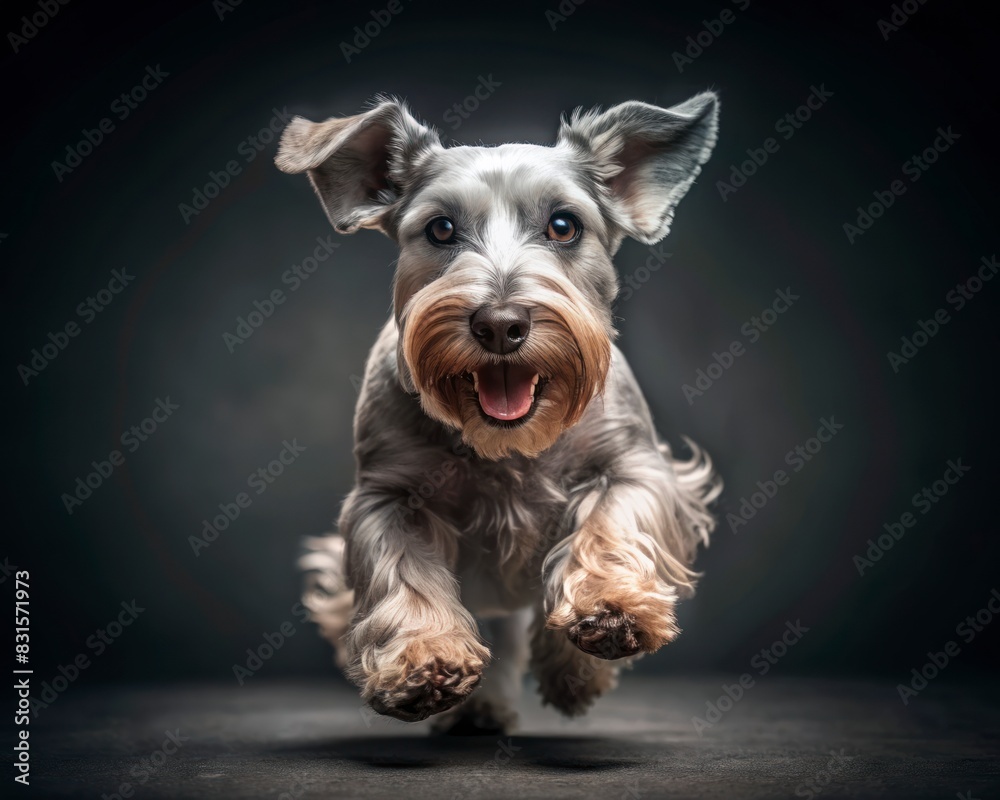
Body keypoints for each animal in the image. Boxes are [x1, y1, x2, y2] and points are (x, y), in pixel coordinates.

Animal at [278, 90, 724, 736]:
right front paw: (424, 657)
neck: (507, 445)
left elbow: (610, 527)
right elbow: (405, 575)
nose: (500, 324)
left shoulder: (633, 467)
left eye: (564, 225)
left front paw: (606, 616)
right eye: (440, 229)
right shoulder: (387, 498)